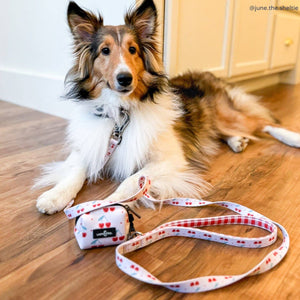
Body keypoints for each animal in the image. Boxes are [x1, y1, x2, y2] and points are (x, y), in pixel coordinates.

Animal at [35, 0, 300, 216]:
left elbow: (131, 181)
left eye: (132, 50)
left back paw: (291, 138)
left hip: (227, 116)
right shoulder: (91, 145)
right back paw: (237, 141)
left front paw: (109, 203)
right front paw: (54, 197)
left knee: (265, 123)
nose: (125, 79)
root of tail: (208, 74)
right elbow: (75, 171)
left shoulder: (169, 159)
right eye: (105, 51)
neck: (121, 113)